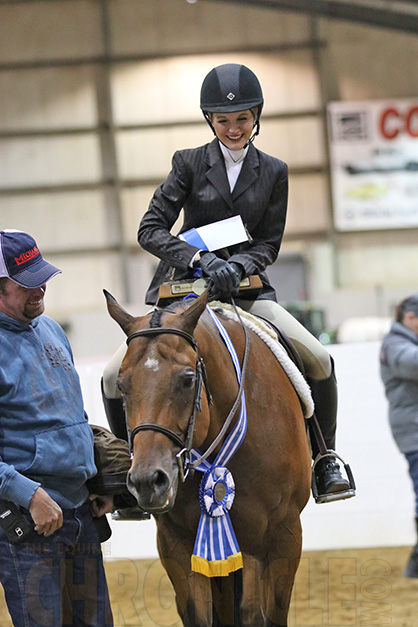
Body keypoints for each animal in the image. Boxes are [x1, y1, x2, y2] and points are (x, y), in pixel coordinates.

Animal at [105, 290, 310, 627]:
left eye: (188, 379)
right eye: (121, 385)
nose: (148, 482)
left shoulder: (285, 535)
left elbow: (270, 615)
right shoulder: (177, 542)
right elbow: (201, 615)